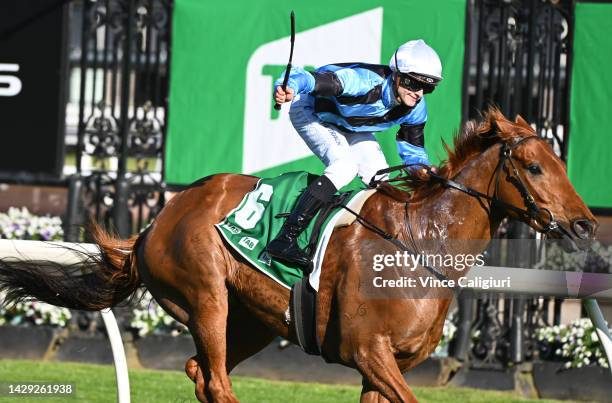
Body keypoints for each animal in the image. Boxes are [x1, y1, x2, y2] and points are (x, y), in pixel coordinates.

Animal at [0, 109, 596, 402]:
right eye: (535, 167)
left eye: (561, 162)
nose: (586, 223)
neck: (419, 243)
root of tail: (153, 223)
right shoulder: (367, 351)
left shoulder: (387, 365)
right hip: (206, 298)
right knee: (216, 379)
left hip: (255, 321)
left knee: (201, 371)